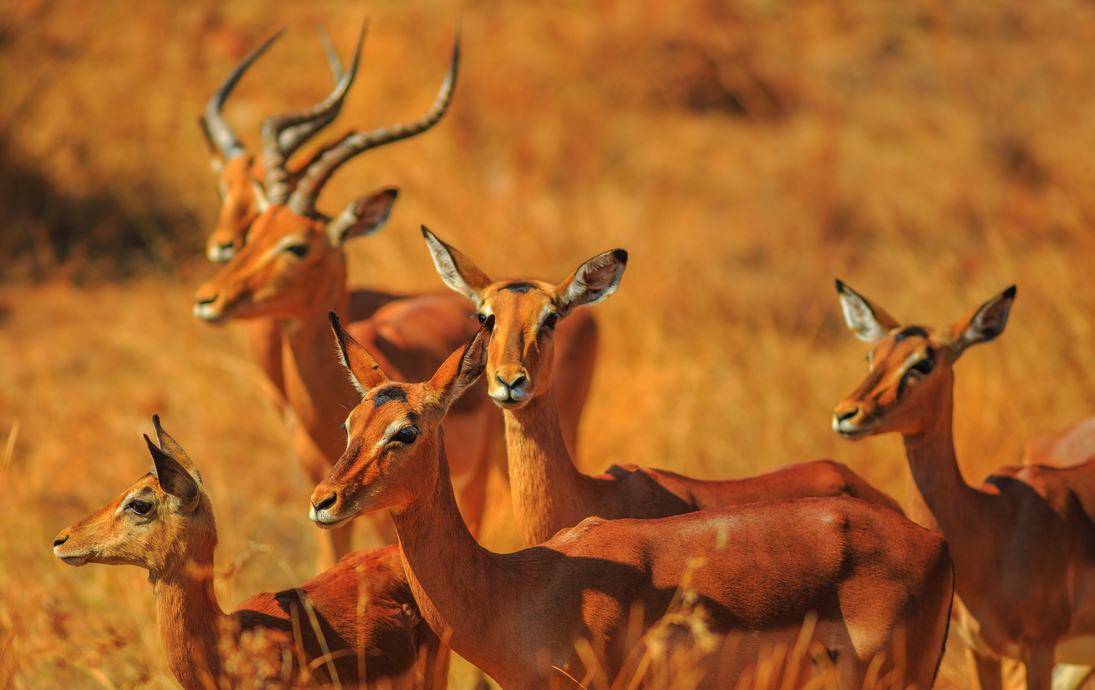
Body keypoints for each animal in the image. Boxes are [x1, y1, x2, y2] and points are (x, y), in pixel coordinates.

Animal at [831, 281, 1095, 690]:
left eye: (924, 362)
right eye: (872, 356)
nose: (846, 414)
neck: (991, 525)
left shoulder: (1038, 649)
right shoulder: (980, 651)